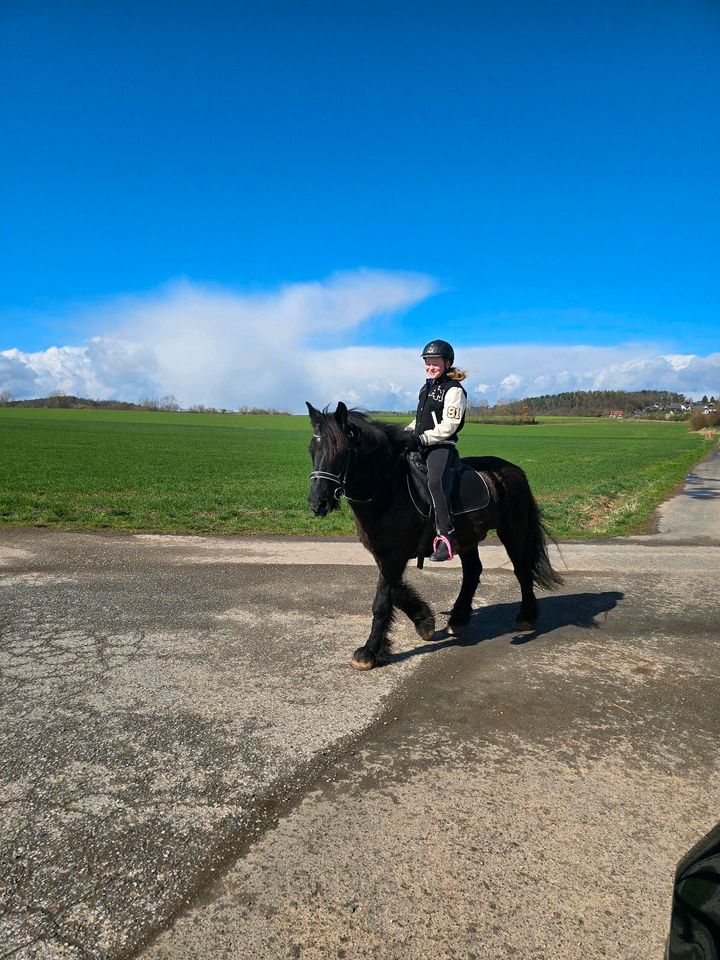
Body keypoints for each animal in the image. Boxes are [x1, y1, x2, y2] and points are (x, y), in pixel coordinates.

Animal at [306, 400, 564, 668]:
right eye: (311, 449)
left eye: (340, 451)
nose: (317, 503)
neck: (389, 488)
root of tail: (515, 471)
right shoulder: (384, 554)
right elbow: (396, 591)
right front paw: (425, 622)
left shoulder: (393, 555)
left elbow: (382, 601)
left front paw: (369, 651)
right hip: (467, 539)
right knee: (473, 572)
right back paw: (458, 619)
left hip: (513, 530)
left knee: (521, 569)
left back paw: (526, 616)